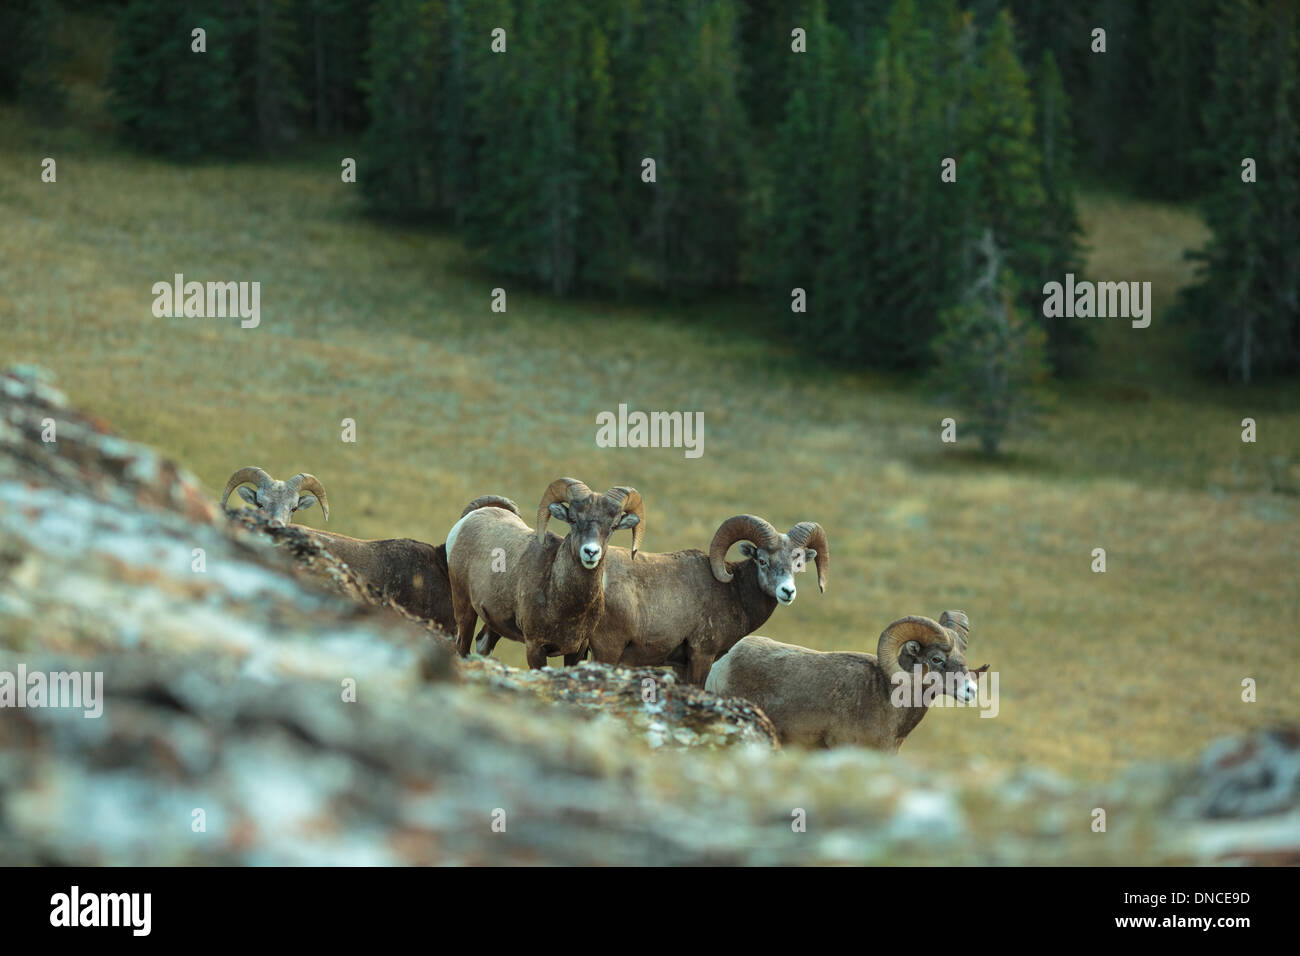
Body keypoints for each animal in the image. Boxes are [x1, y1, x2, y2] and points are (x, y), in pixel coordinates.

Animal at [447, 476, 644, 671]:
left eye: (613, 526)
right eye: (573, 520)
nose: (590, 552)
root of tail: (468, 520)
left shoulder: (578, 650)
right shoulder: (535, 647)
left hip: (494, 624)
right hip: (464, 609)